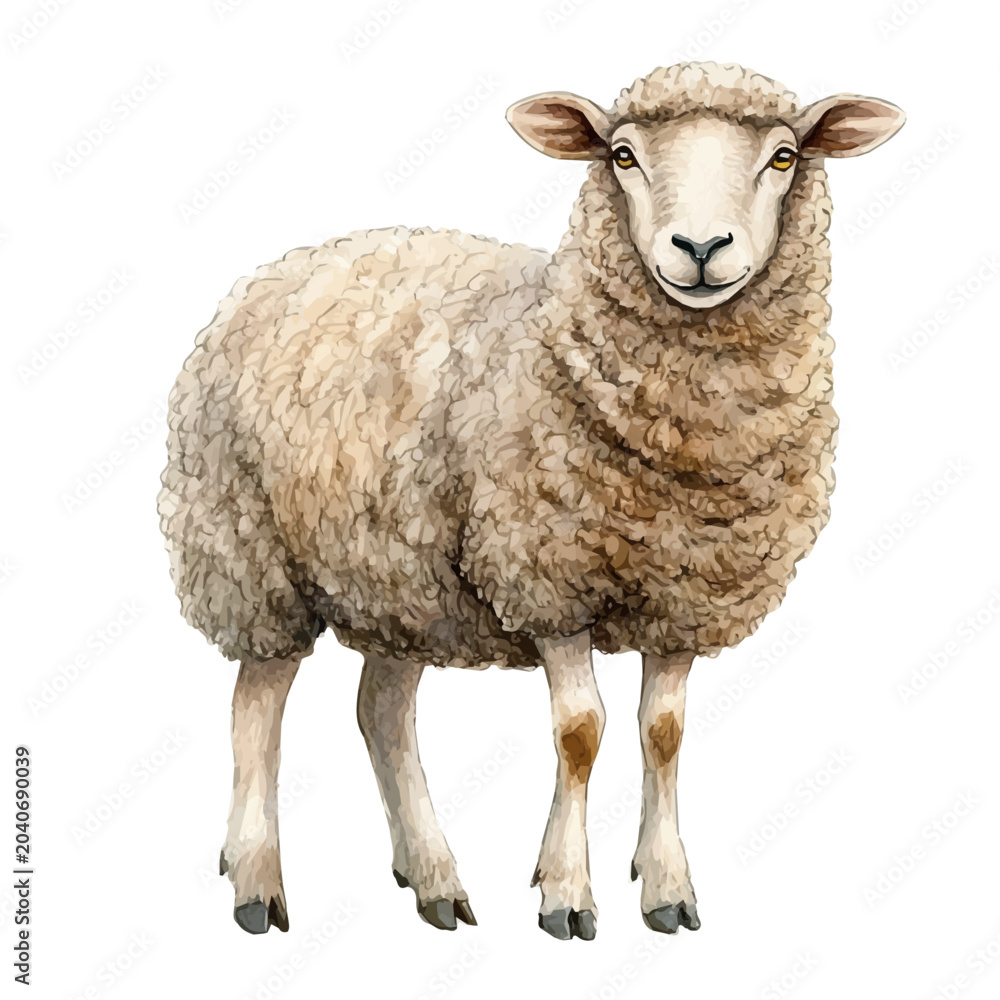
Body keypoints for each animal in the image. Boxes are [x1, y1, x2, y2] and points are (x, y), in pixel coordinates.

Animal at [158, 61, 905, 939]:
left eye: (784, 156)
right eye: (622, 154)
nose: (700, 249)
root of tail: (286, 264)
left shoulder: (685, 593)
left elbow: (665, 734)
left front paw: (666, 888)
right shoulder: (546, 576)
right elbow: (581, 733)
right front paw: (566, 894)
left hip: (401, 575)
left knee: (382, 710)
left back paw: (433, 878)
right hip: (249, 554)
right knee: (257, 709)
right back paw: (255, 881)